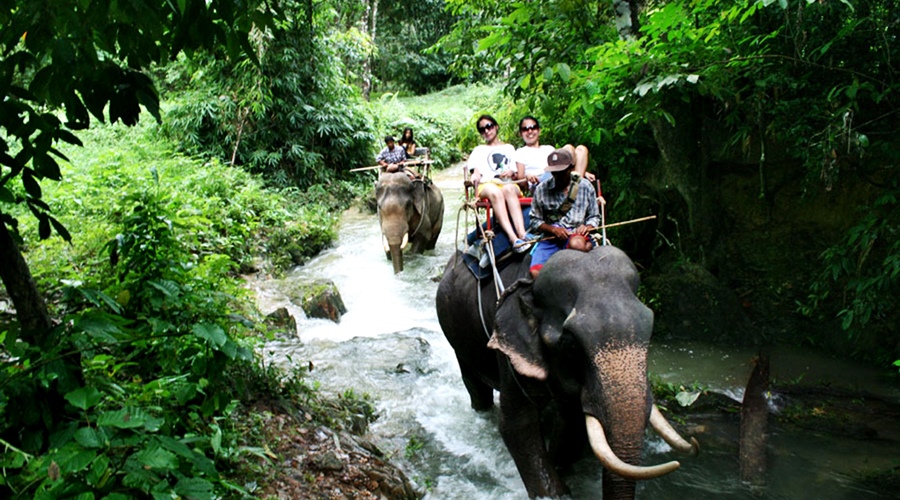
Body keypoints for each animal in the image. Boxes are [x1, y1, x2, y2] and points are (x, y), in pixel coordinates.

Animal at [434, 246, 696, 500]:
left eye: (649, 333)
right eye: (571, 344)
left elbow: (573, 422)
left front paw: (559, 462)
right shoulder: (509, 347)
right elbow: (516, 425)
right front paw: (556, 493)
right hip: (455, 335)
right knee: (475, 385)